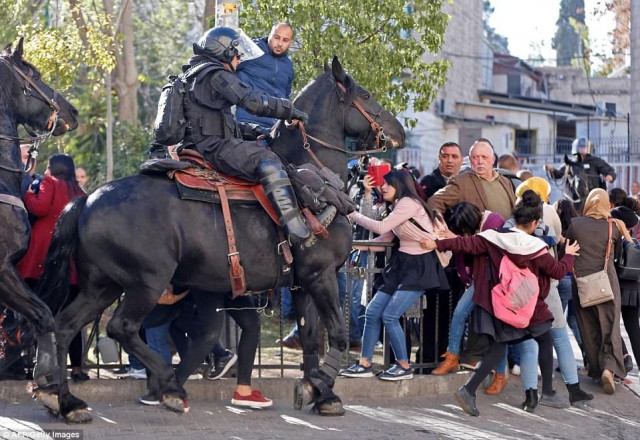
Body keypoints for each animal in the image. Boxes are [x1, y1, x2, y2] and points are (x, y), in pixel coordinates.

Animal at [35, 56, 402, 424]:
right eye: (365, 95)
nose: (398, 131)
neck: (315, 183)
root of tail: (88, 199)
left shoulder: (302, 284)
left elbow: (312, 340)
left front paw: (320, 393)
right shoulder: (321, 277)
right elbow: (337, 335)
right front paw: (321, 387)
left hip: (103, 285)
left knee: (64, 326)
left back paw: (66, 401)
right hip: (145, 283)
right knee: (121, 327)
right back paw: (169, 387)